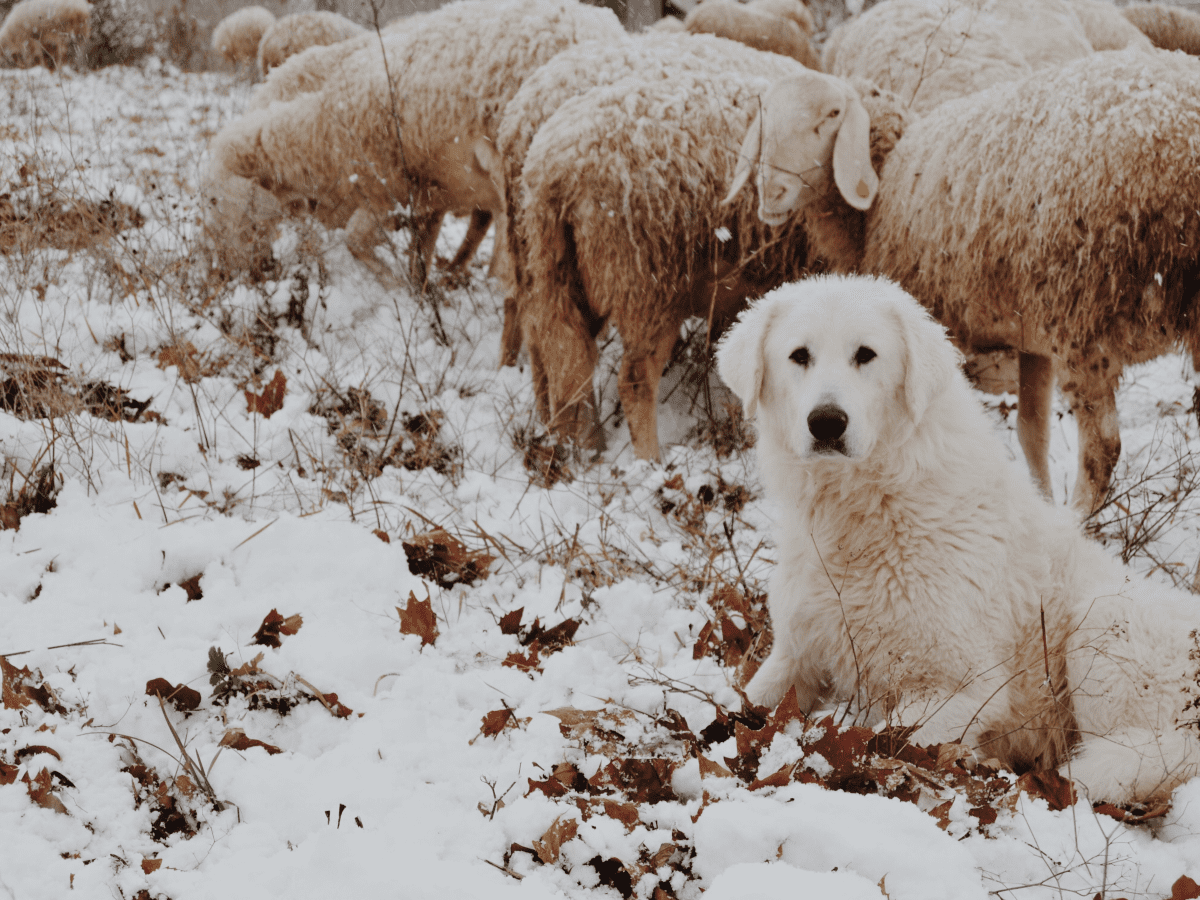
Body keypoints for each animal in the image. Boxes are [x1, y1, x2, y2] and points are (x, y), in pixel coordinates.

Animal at [213, 0, 619, 289]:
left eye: (214, 203)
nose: (232, 275)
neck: (321, 133)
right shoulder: (427, 198)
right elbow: (419, 255)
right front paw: (422, 295)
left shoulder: (383, 192)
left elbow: (355, 242)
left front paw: (397, 289)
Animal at [511, 43, 897, 460]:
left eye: (833, 114)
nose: (770, 190)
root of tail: (553, 167)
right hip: (644, 280)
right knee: (632, 378)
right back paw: (649, 459)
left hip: (557, 267)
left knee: (556, 348)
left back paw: (572, 443)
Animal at [715, 273, 1200, 801]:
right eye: (799, 355)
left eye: (866, 355)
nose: (826, 422)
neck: (869, 506)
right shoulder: (797, 655)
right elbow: (738, 706)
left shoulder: (966, 687)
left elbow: (879, 739)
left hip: (1102, 623)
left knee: (1143, 752)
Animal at [724, 47, 1200, 513]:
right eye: (766, 116)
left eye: (833, 113)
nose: (772, 193)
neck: (888, 174)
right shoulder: (1032, 335)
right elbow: (1032, 433)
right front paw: (1038, 502)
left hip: (1085, 313)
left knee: (1102, 449)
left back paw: (1079, 520)